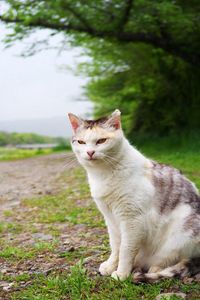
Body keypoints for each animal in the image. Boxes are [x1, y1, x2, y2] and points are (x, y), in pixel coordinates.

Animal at [68, 109, 199, 282]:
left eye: (101, 141)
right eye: (81, 142)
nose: (90, 152)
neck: (103, 174)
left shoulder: (132, 220)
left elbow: (125, 249)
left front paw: (121, 273)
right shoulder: (110, 219)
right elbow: (116, 246)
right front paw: (111, 266)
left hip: (180, 236)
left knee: (170, 260)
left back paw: (150, 269)